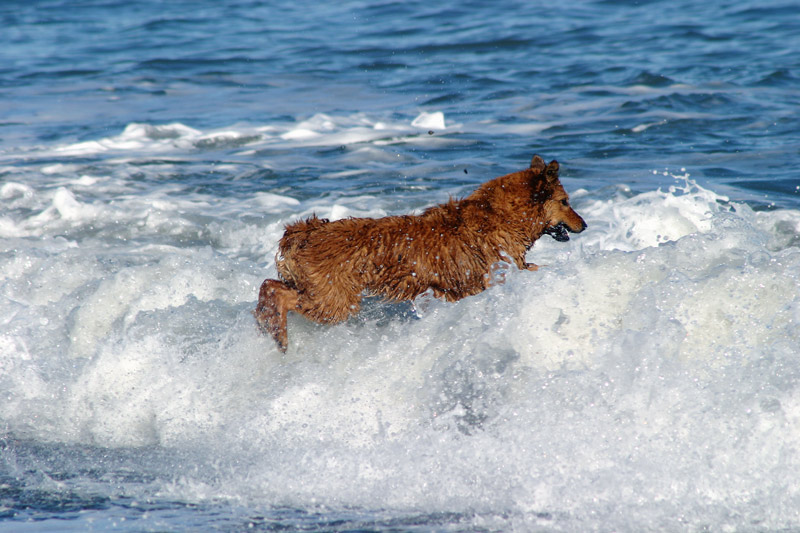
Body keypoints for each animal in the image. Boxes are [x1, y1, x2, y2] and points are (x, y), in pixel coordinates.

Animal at [256, 156, 588, 352]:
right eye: (565, 201)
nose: (584, 224)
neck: (502, 216)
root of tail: (306, 230)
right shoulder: (499, 273)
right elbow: (535, 269)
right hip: (334, 302)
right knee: (277, 292)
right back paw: (278, 334)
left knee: (269, 286)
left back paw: (265, 323)